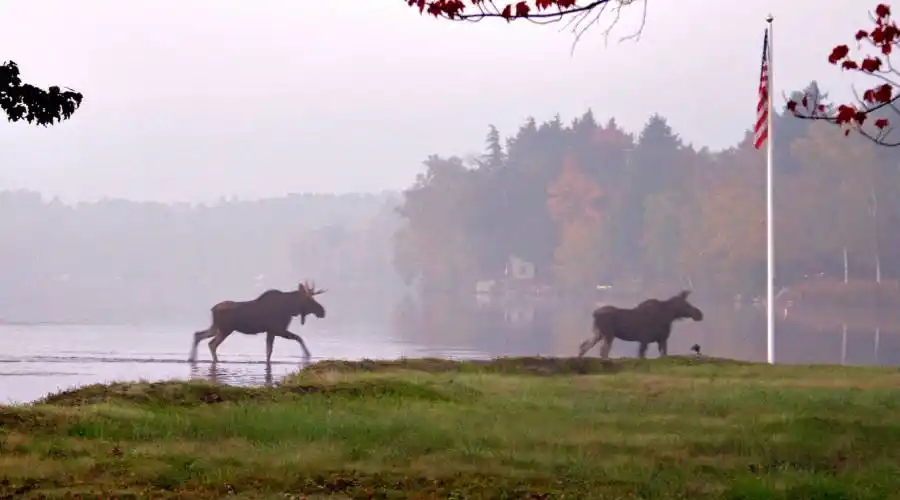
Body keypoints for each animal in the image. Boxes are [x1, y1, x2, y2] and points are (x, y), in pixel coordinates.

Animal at [189, 282, 326, 364]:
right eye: (309, 299)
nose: (322, 311)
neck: (290, 309)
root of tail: (212, 309)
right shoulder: (277, 329)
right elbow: (299, 338)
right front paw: (307, 355)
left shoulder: (271, 331)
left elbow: (269, 351)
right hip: (225, 329)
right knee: (212, 344)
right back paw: (215, 361)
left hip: (216, 327)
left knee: (198, 335)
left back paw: (192, 358)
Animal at [576, 290, 704, 360]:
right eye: (686, 304)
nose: (699, 314)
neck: (669, 316)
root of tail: (594, 314)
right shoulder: (646, 339)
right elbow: (642, 355)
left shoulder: (661, 339)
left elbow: (663, 354)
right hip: (608, 334)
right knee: (603, 350)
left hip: (598, 333)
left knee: (584, 346)